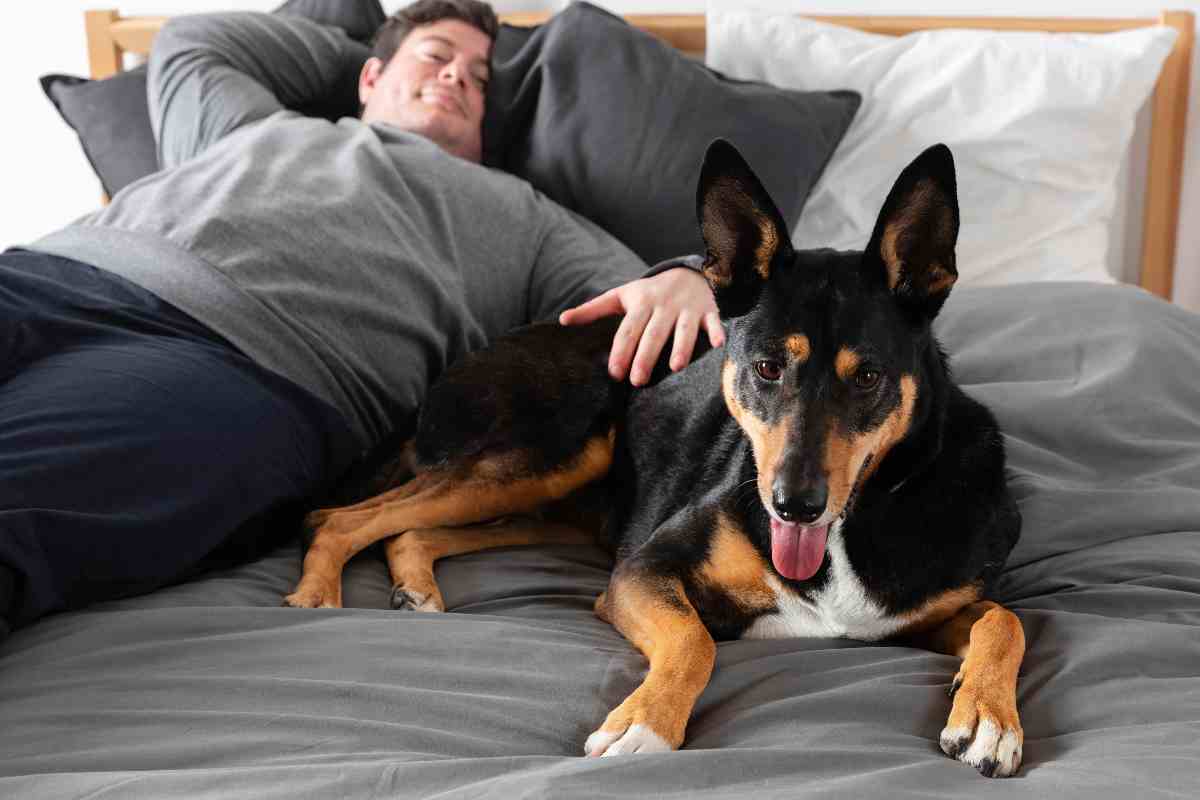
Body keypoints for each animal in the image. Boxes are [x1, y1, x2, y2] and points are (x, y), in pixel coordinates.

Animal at [285, 140, 1027, 777]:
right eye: (765, 368)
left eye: (868, 378)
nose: (793, 505)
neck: (851, 524)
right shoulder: (641, 571)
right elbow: (696, 640)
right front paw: (643, 725)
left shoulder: (926, 613)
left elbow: (1005, 619)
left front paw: (989, 718)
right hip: (543, 456)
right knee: (338, 516)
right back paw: (317, 597)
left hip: (545, 508)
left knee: (408, 528)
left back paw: (414, 589)